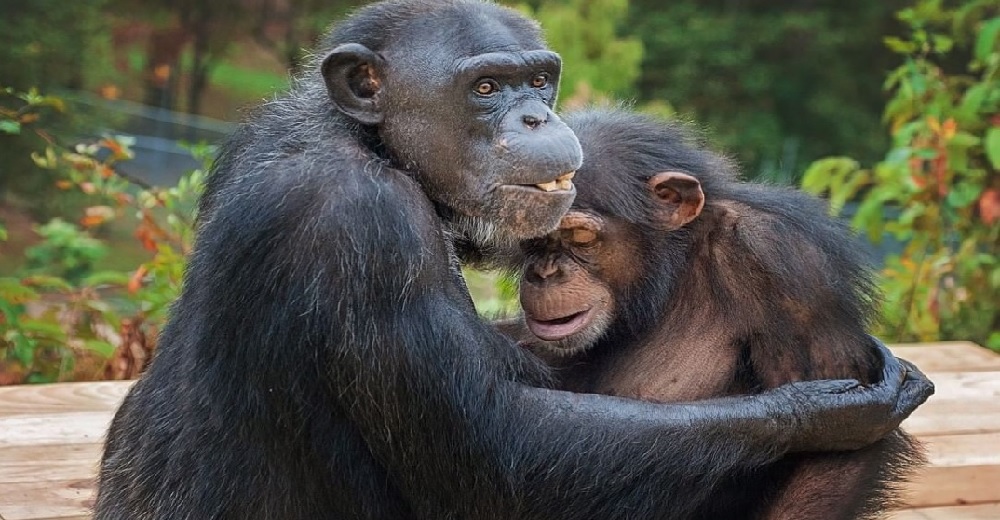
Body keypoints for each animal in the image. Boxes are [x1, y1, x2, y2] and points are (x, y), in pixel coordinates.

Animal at [512, 107, 932, 516]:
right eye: (534, 238)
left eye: (579, 237)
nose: (545, 273)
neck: (671, 271)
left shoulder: (788, 264)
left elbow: (833, 458)